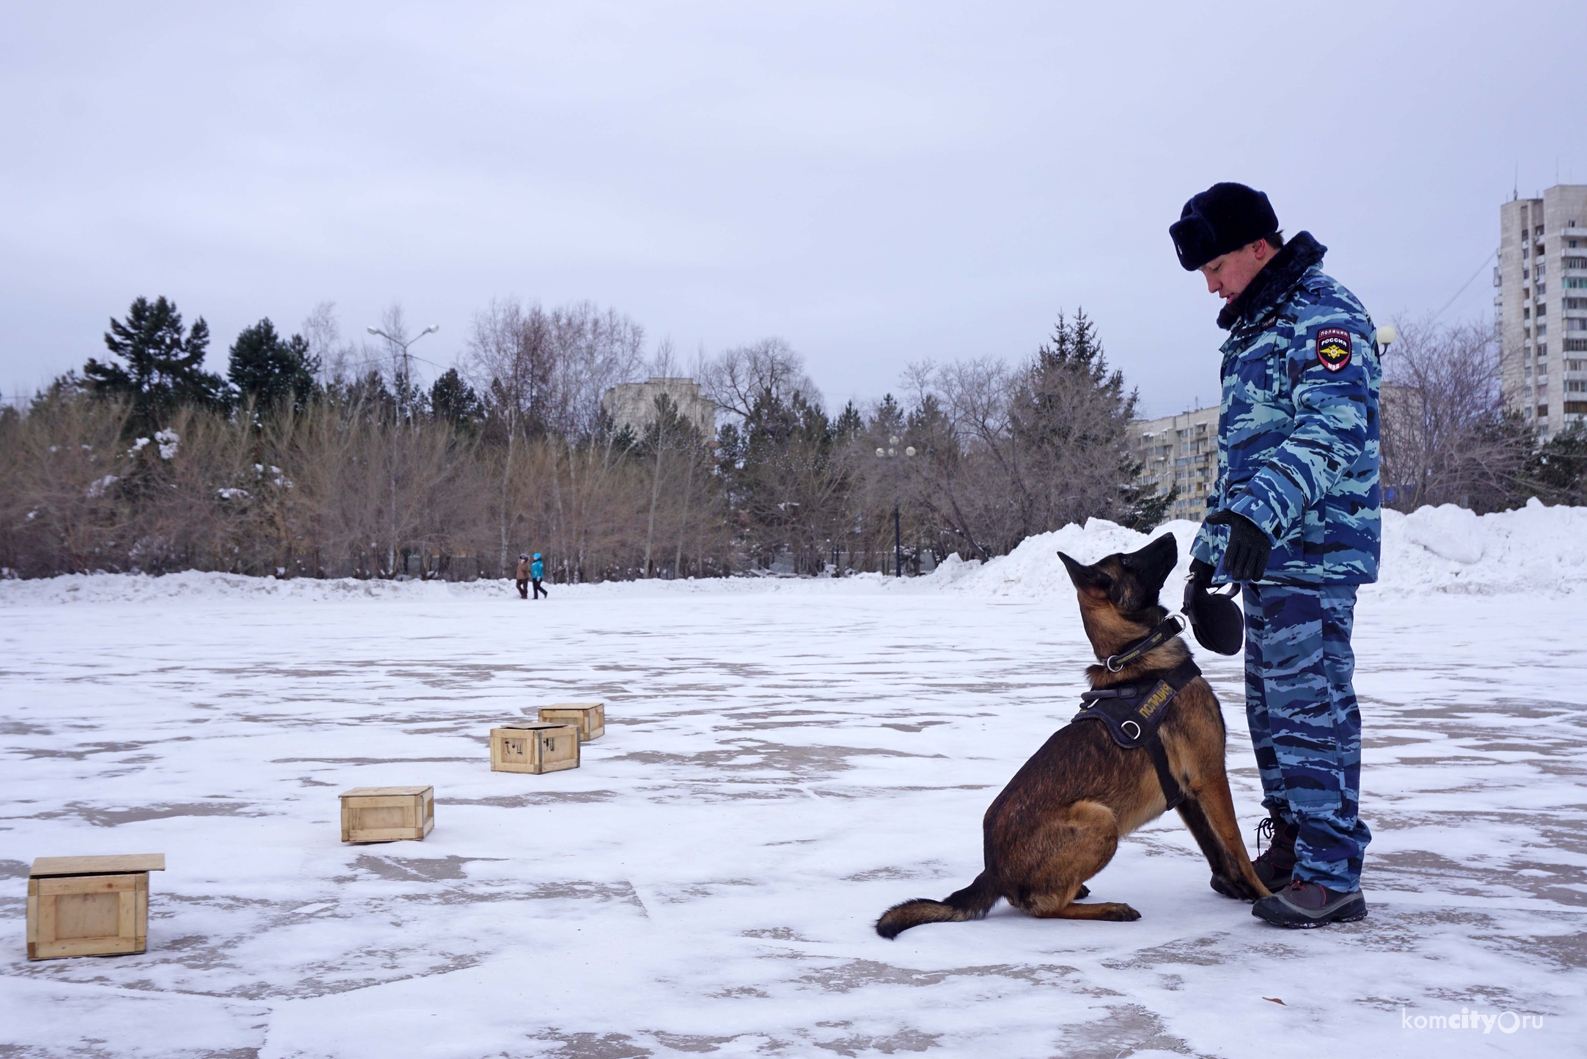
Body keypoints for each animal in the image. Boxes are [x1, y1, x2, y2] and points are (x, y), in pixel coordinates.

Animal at [876, 533, 1269, 939]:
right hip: (1101, 819)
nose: (1172, 537)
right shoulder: (1210, 777)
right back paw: (1109, 909)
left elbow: (1216, 849)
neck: (1134, 656)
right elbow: (1236, 845)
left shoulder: (1188, 792)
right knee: (1043, 907)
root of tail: (993, 871)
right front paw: (1265, 894)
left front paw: (1236, 887)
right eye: (1126, 561)